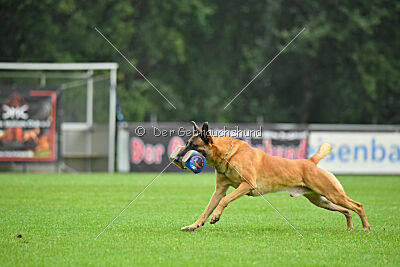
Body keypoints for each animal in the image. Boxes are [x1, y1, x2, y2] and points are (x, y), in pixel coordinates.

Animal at [171, 122, 368, 232]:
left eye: (192, 146)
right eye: (187, 144)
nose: (176, 158)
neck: (229, 155)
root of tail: (310, 161)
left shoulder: (247, 185)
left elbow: (225, 200)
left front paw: (216, 216)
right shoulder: (219, 190)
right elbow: (206, 209)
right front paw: (194, 225)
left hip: (332, 194)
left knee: (357, 205)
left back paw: (365, 227)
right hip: (321, 200)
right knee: (347, 210)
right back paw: (349, 226)